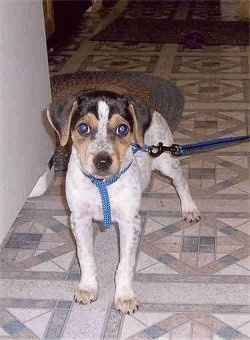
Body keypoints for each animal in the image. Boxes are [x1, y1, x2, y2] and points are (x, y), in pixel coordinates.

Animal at [46, 89, 199, 314]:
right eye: (83, 128)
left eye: (122, 129)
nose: (102, 161)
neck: (102, 185)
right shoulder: (79, 219)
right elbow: (85, 257)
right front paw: (87, 287)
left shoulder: (130, 223)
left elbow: (125, 265)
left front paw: (125, 296)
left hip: (167, 161)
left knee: (181, 182)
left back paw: (189, 208)